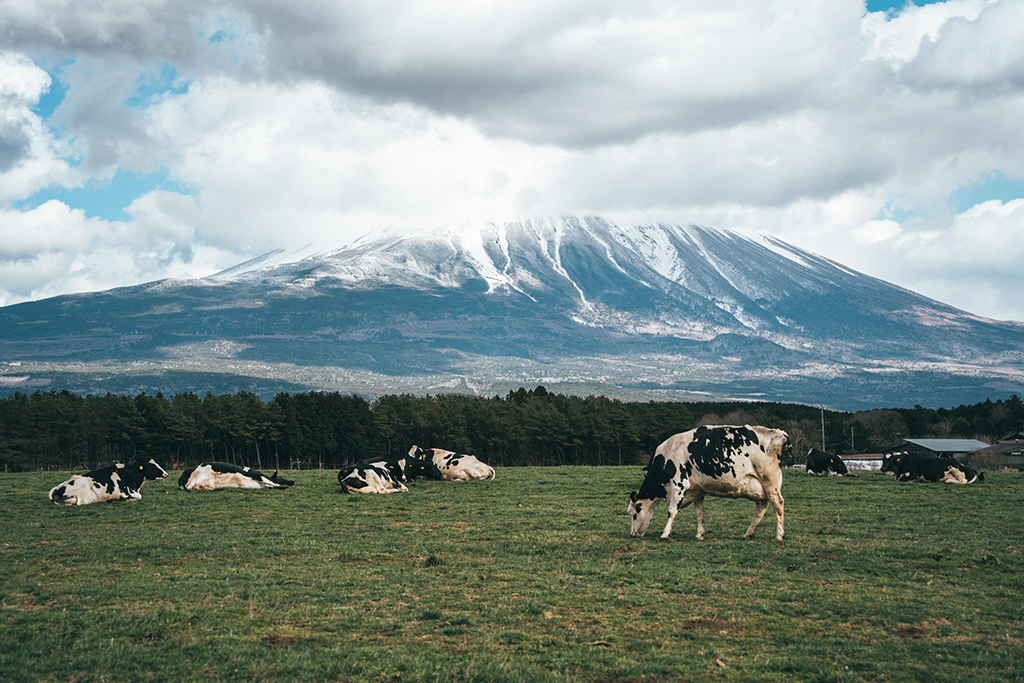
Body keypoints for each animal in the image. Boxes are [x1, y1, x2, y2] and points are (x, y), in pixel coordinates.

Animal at [626, 423, 786, 540]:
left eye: (635, 512)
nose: (633, 534)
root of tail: (780, 434)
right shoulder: (697, 489)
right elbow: (699, 512)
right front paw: (700, 534)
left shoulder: (679, 484)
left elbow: (671, 511)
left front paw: (665, 534)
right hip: (761, 486)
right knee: (761, 507)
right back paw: (748, 534)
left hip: (769, 480)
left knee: (777, 504)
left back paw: (779, 535)